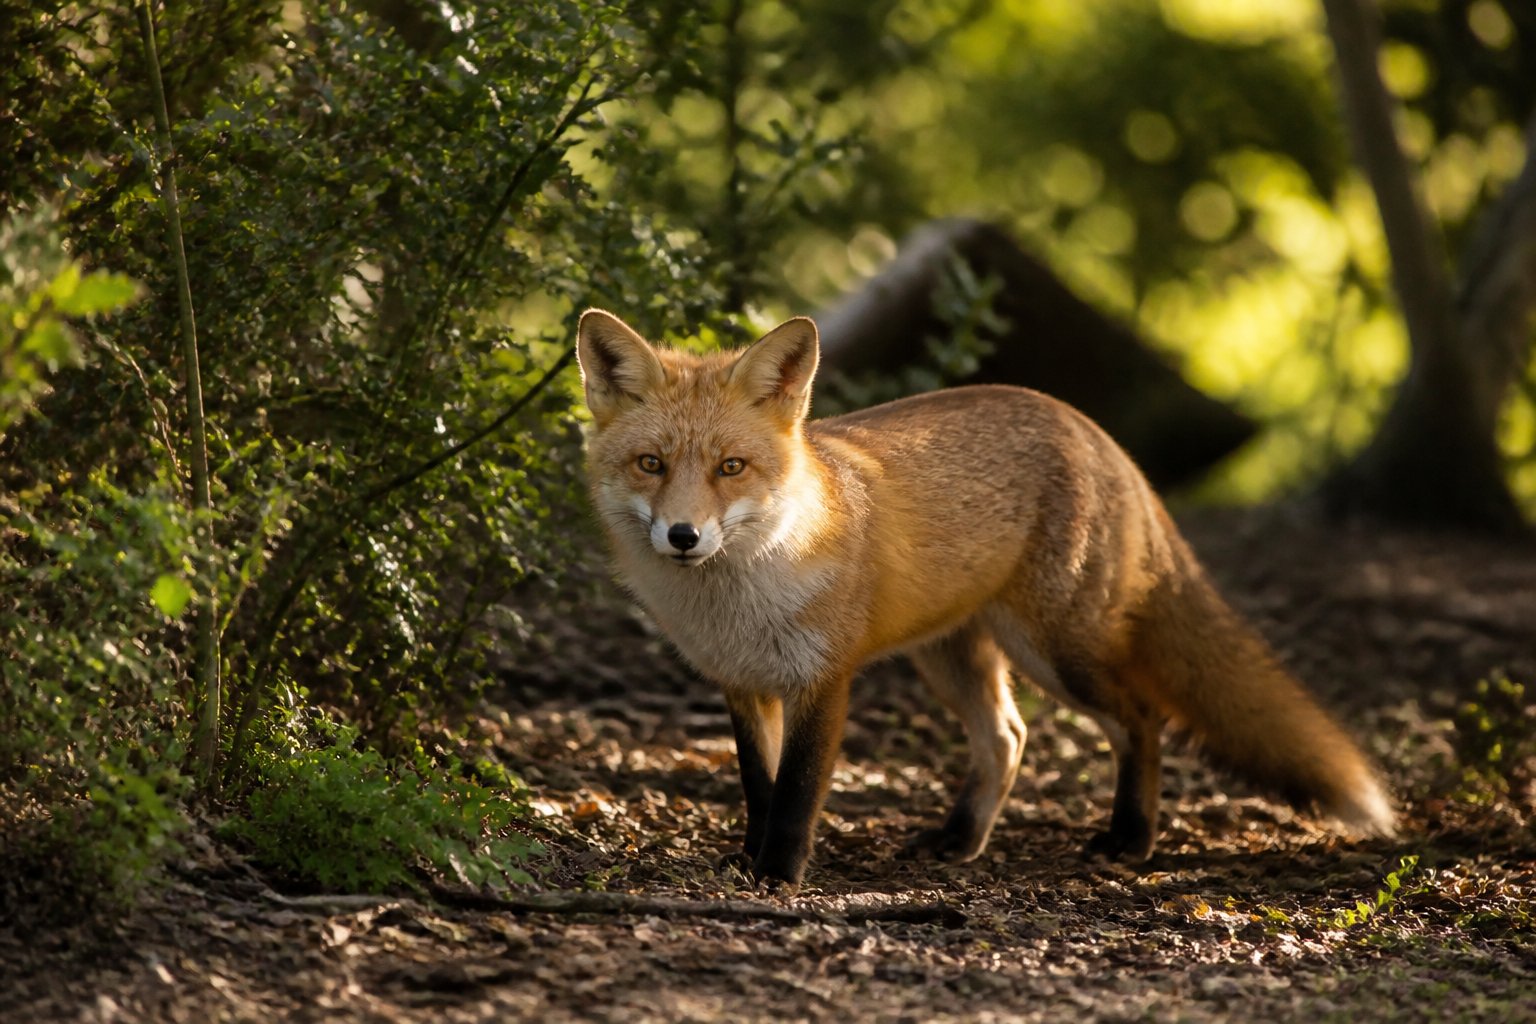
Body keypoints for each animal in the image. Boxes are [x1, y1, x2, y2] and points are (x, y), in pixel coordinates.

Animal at [575, 307, 1395, 889]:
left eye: (731, 467)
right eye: (651, 464)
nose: (683, 535)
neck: (741, 593)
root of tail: (1095, 433)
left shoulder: (823, 680)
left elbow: (796, 794)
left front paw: (777, 876)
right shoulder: (743, 684)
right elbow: (758, 786)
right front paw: (747, 861)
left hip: (1056, 651)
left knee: (1141, 718)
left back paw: (1129, 840)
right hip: (952, 658)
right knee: (1008, 737)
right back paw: (959, 841)